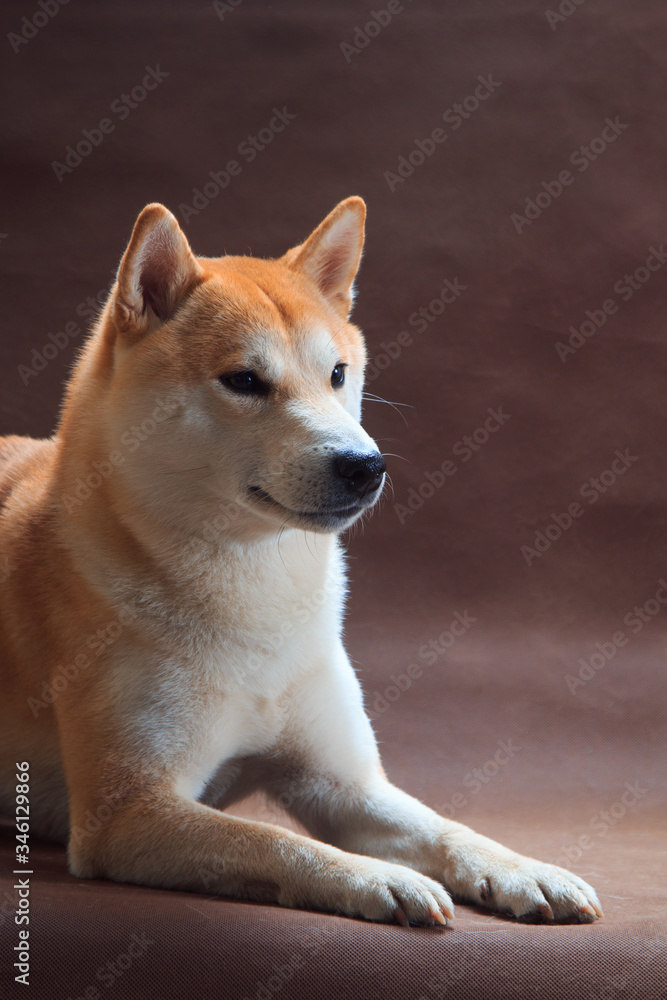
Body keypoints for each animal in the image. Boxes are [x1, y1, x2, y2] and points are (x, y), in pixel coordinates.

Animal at [0, 199, 604, 924]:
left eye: (337, 374)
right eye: (243, 381)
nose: (366, 465)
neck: (258, 595)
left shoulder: (343, 782)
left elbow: (444, 827)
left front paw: (522, 869)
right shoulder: (129, 811)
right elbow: (276, 843)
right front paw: (378, 878)